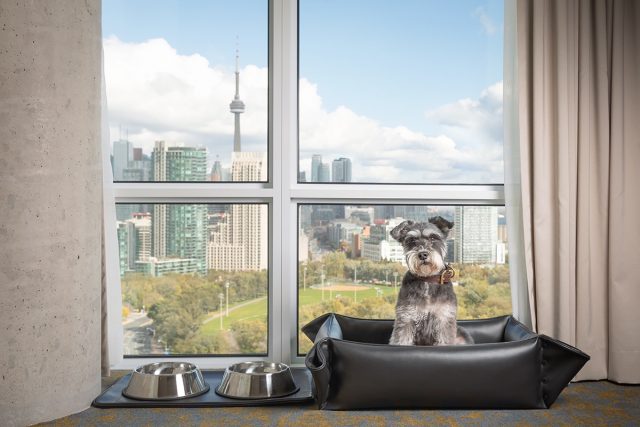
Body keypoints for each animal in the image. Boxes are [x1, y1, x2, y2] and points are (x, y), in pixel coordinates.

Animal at [388, 217, 472, 348]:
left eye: (433, 238)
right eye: (412, 240)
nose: (423, 254)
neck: (427, 279)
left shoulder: (444, 320)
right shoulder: (406, 319)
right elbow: (401, 340)